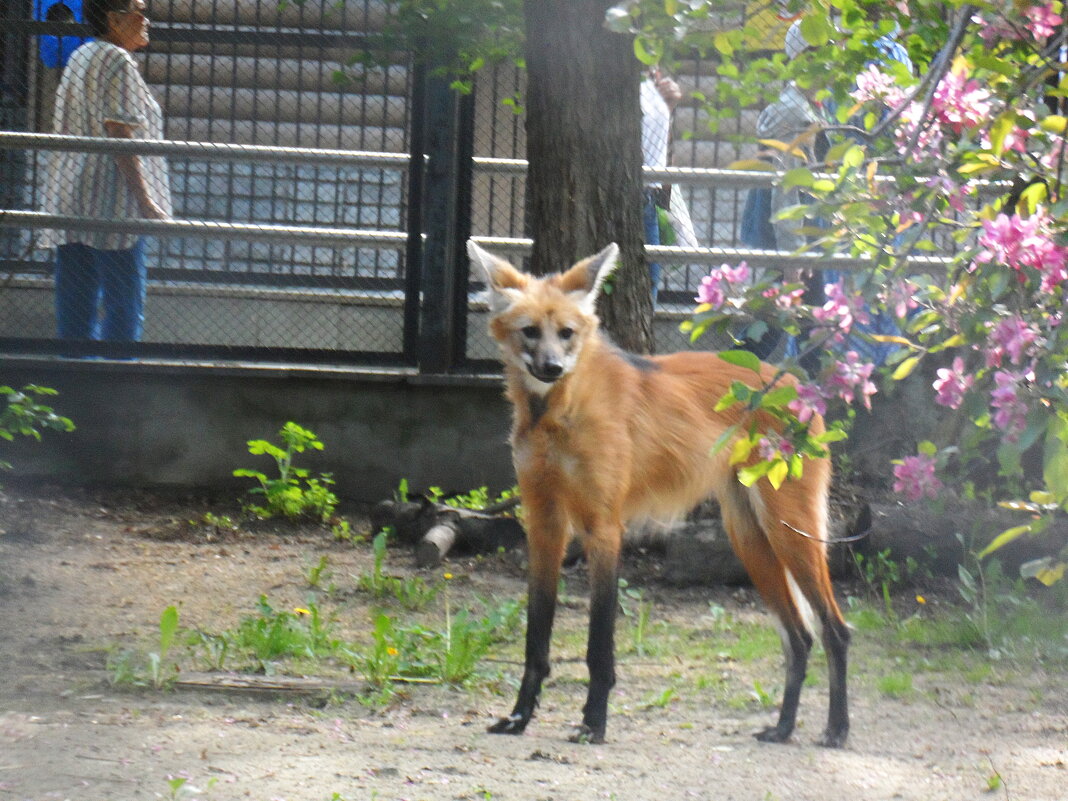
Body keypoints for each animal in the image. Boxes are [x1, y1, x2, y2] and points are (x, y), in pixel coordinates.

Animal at [469, 241, 850, 751]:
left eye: (566, 333)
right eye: (530, 331)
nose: (551, 367)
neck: (555, 413)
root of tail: (797, 384)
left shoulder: (603, 527)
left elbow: (599, 645)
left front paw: (593, 723)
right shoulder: (545, 522)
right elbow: (536, 636)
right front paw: (519, 716)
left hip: (788, 530)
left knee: (834, 629)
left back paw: (836, 729)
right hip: (749, 537)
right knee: (800, 636)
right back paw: (783, 728)